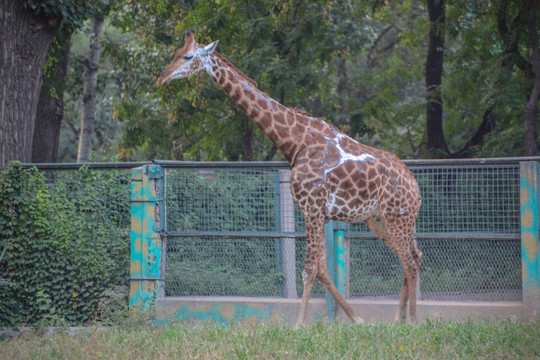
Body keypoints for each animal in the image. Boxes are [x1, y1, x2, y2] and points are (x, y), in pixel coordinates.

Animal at [158, 31, 424, 324]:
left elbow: (310, 269)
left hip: (397, 216)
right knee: (412, 255)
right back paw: (397, 319)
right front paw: (356, 319)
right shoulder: (317, 212)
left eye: (188, 56)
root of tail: (415, 187)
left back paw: (413, 321)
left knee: (410, 259)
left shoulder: (312, 207)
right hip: (380, 220)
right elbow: (322, 269)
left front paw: (298, 325)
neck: (296, 141)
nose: (162, 77)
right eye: (174, 54)